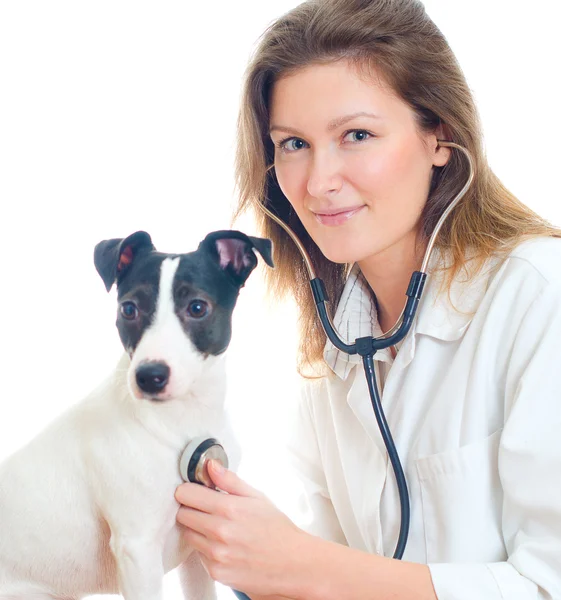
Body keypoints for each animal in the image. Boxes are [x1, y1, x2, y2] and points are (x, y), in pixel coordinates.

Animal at [0, 231, 274, 600]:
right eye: (129, 309)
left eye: (197, 307)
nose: (149, 376)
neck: (182, 422)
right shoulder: (138, 551)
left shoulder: (198, 543)